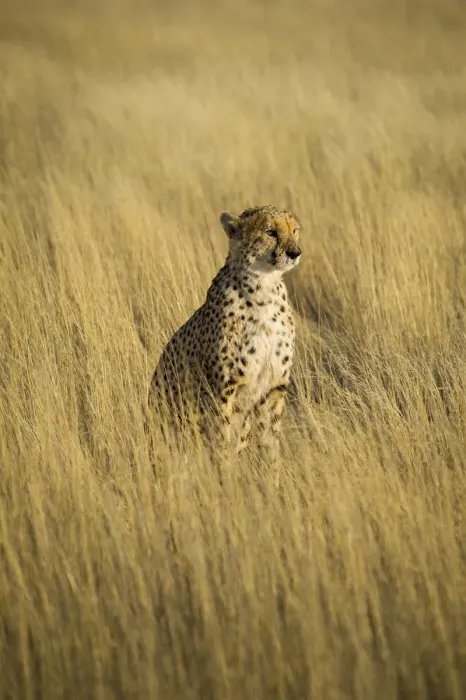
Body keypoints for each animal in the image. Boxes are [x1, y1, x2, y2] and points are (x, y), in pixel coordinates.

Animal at [148, 204, 302, 462]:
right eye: (270, 232)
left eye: (294, 231)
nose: (295, 252)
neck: (265, 287)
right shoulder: (224, 389)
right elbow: (222, 442)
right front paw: (225, 473)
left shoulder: (273, 387)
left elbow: (270, 444)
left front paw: (272, 473)